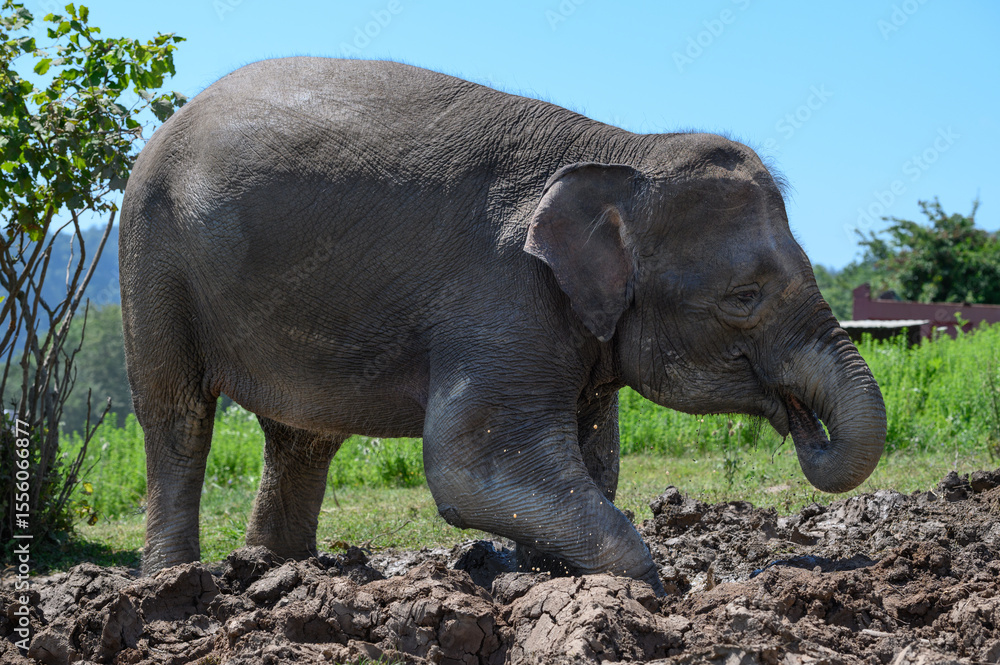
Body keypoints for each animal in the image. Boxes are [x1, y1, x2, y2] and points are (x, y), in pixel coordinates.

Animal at [120, 58, 886, 595]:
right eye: (745, 296)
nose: (804, 424)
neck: (624, 148)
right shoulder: (503, 294)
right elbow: (470, 463)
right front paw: (645, 592)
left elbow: (595, 457)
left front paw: (543, 577)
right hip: (153, 257)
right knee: (176, 412)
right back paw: (177, 584)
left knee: (303, 435)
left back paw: (279, 571)